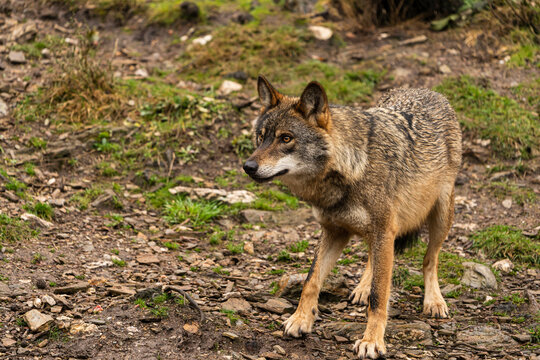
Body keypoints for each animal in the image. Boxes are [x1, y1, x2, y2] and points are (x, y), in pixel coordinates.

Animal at [243, 75, 462, 358]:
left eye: (286, 138)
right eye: (260, 138)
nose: (248, 167)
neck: (353, 168)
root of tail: (426, 90)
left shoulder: (383, 231)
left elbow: (379, 297)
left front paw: (372, 341)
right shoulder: (334, 231)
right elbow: (311, 281)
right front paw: (301, 319)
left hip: (441, 215)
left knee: (430, 259)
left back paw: (433, 301)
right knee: (372, 258)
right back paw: (362, 288)